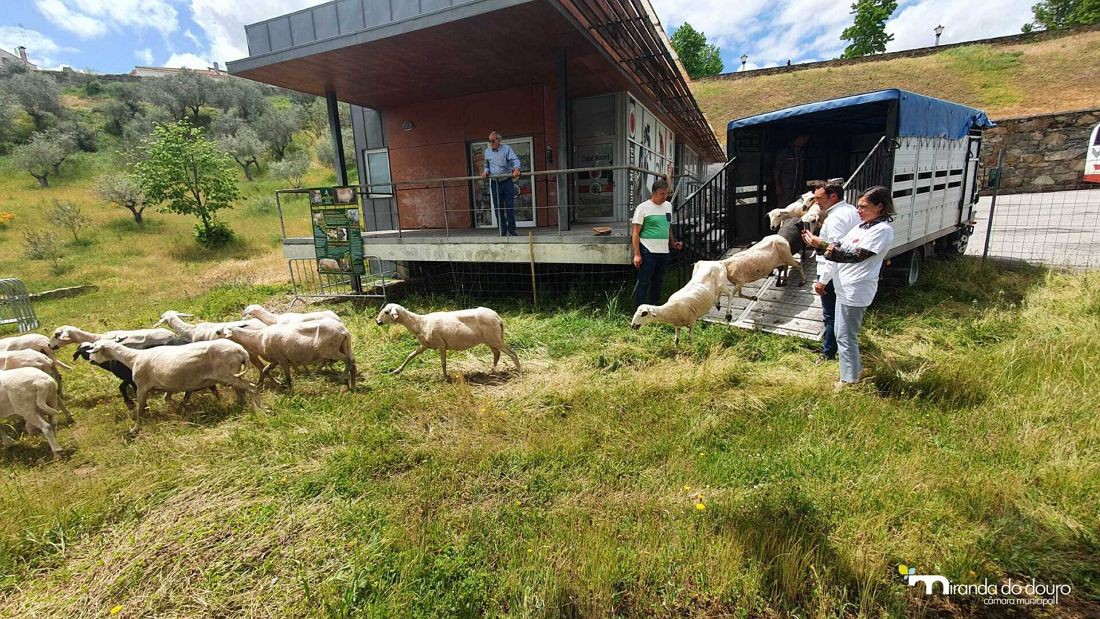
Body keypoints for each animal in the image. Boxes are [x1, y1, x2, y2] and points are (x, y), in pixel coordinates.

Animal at [85, 338, 257, 430]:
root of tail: (241, 350)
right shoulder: (170, 386)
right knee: (242, 392)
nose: (91, 360)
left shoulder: (142, 387)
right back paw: (241, 407)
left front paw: (135, 428)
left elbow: (140, 409)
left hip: (228, 375)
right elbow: (167, 399)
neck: (133, 358)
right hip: (232, 374)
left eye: (95, 350)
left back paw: (259, 409)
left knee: (253, 388)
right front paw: (184, 411)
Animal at [221, 318, 358, 391]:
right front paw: (264, 384)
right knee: (353, 362)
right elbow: (265, 370)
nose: (217, 333)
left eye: (221, 331)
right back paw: (352, 384)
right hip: (343, 347)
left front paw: (290, 390)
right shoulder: (275, 359)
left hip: (331, 350)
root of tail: (344, 331)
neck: (258, 338)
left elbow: (287, 376)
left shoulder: (282, 359)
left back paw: (343, 378)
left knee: (347, 360)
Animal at [374, 303, 519, 380]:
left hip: (494, 338)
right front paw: (396, 371)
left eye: (386, 312)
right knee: (497, 354)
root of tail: (498, 317)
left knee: (512, 353)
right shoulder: (424, 345)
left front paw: (444, 377)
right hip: (491, 340)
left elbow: (443, 363)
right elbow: (410, 356)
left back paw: (519, 371)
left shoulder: (441, 344)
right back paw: (492, 370)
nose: (377, 321)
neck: (420, 323)